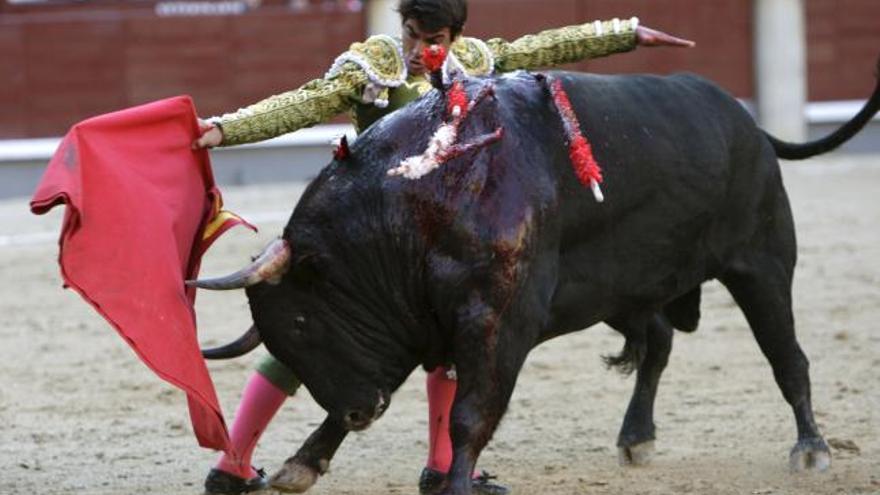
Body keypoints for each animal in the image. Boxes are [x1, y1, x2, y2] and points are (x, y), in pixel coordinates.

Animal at [199, 67, 880, 495]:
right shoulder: (417, 322)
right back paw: (637, 437)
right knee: (658, 342)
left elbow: (471, 414)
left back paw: (812, 449)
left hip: (762, 263)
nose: (361, 411)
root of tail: (749, 125)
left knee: (787, 356)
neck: (418, 196)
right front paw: (302, 464)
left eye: (304, 320)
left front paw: (456, 486)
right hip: (625, 288)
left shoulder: (496, 319)